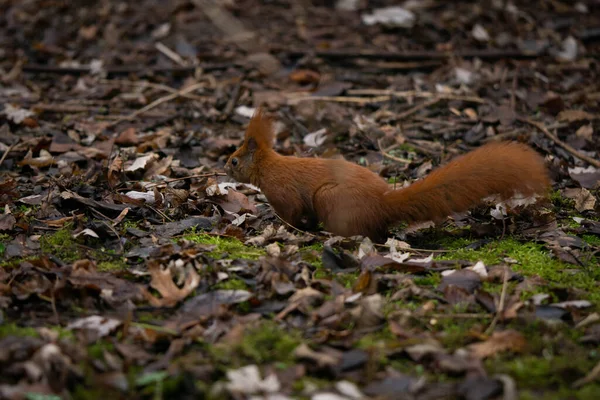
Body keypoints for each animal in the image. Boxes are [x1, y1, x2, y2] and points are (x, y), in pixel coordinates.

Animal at [224, 108, 548, 242]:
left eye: (234, 160)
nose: (223, 168)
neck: (269, 167)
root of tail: (381, 204)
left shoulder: (283, 193)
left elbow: (291, 213)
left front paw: (283, 227)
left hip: (329, 198)